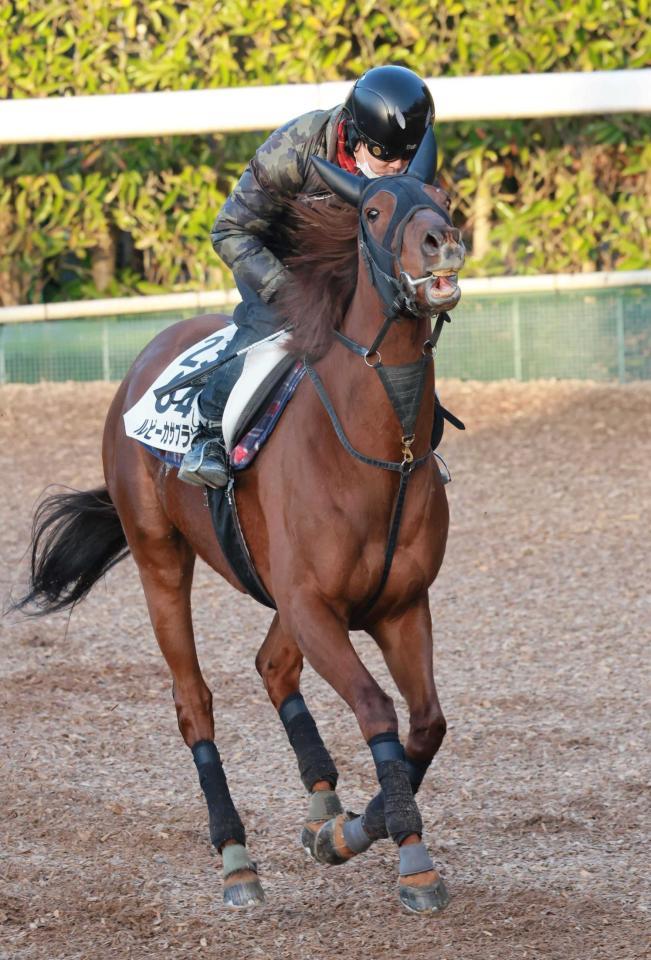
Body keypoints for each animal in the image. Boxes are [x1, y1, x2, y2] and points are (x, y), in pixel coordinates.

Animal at [14, 129, 464, 916]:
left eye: (440, 196)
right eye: (373, 212)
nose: (442, 242)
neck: (380, 451)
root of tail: (144, 360)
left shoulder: (400, 606)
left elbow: (426, 722)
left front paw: (345, 830)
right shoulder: (314, 607)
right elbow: (377, 710)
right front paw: (410, 858)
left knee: (272, 666)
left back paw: (321, 803)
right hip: (160, 559)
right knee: (194, 703)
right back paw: (236, 858)